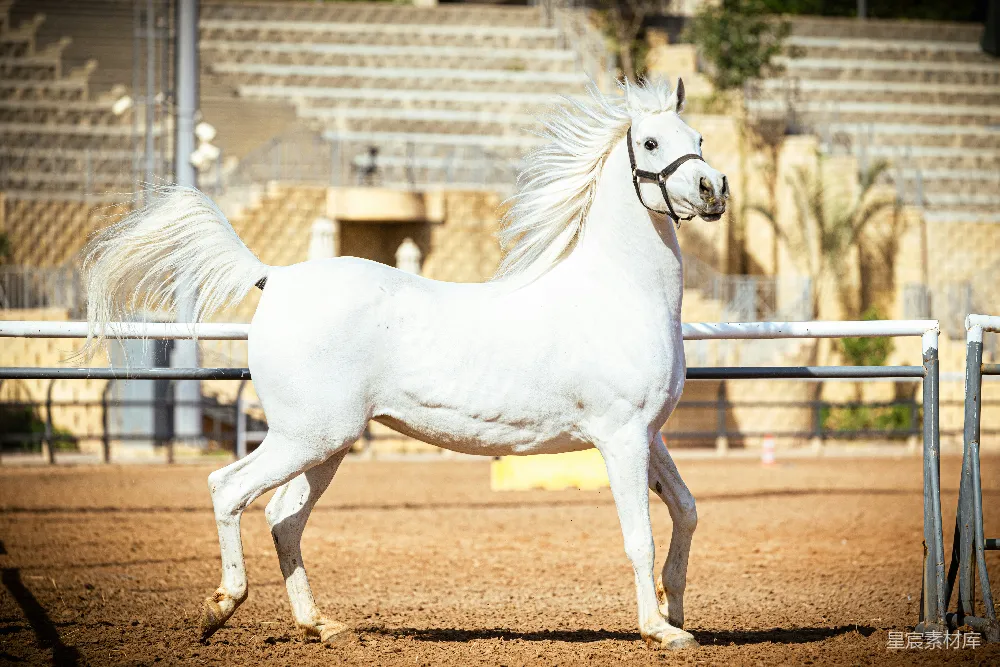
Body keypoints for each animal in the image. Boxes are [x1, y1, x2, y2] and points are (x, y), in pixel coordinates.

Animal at [82, 78, 728, 650]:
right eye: (651, 143)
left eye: (697, 135)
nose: (712, 188)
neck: (618, 292)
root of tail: (277, 277)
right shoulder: (620, 437)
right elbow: (639, 536)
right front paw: (661, 631)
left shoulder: (650, 435)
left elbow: (688, 509)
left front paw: (677, 609)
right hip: (307, 436)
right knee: (229, 489)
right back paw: (218, 609)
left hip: (326, 445)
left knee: (283, 516)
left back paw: (320, 626)